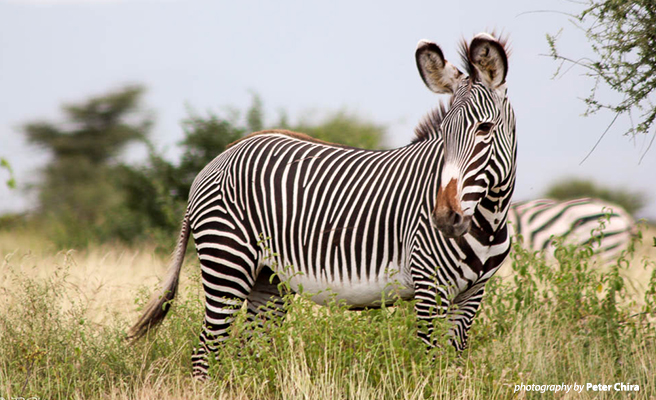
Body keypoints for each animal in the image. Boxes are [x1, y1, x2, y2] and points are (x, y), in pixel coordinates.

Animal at [128, 32, 516, 380]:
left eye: (485, 129)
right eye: (445, 132)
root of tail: (218, 159)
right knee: (205, 352)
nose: (445, 218)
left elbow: (454, 367)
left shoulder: (473, 294)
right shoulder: (430, 286)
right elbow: (431, 366)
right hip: (228, 263)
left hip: (267, 280)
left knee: (246, 352)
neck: (490, 216)